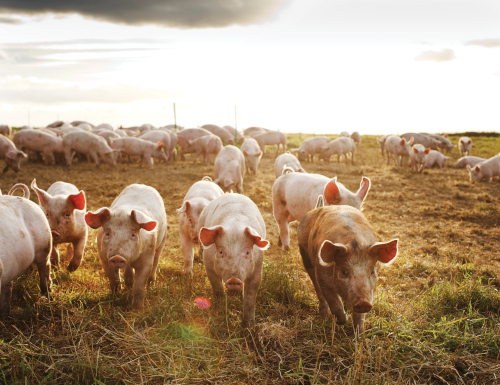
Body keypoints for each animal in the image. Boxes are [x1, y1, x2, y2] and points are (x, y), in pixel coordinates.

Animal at [0, 184, 51, 314]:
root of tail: (25, 198)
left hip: (44, 245)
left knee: (45, 267)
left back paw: (47, 294)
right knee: (8, 287)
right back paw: (5, 311)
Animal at [198, 194, 272, 326]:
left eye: (247, 252)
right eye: (221, 252)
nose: (233, 279)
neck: (235, 225)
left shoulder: (258, 268)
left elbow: (250, 297)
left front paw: (249, 326)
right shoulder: (208, 265)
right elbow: (217, 288)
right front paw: (219, 309)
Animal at [296, 204, 398, 332]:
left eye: (372, 272)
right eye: (344, 272)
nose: (363, 302)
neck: (354, 242)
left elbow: (359, 316)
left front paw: (359, 332)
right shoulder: (322, 277)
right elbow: (334, 301)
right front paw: (343, 321)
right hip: (306, 257)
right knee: (316, 287)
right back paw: (325, 316)